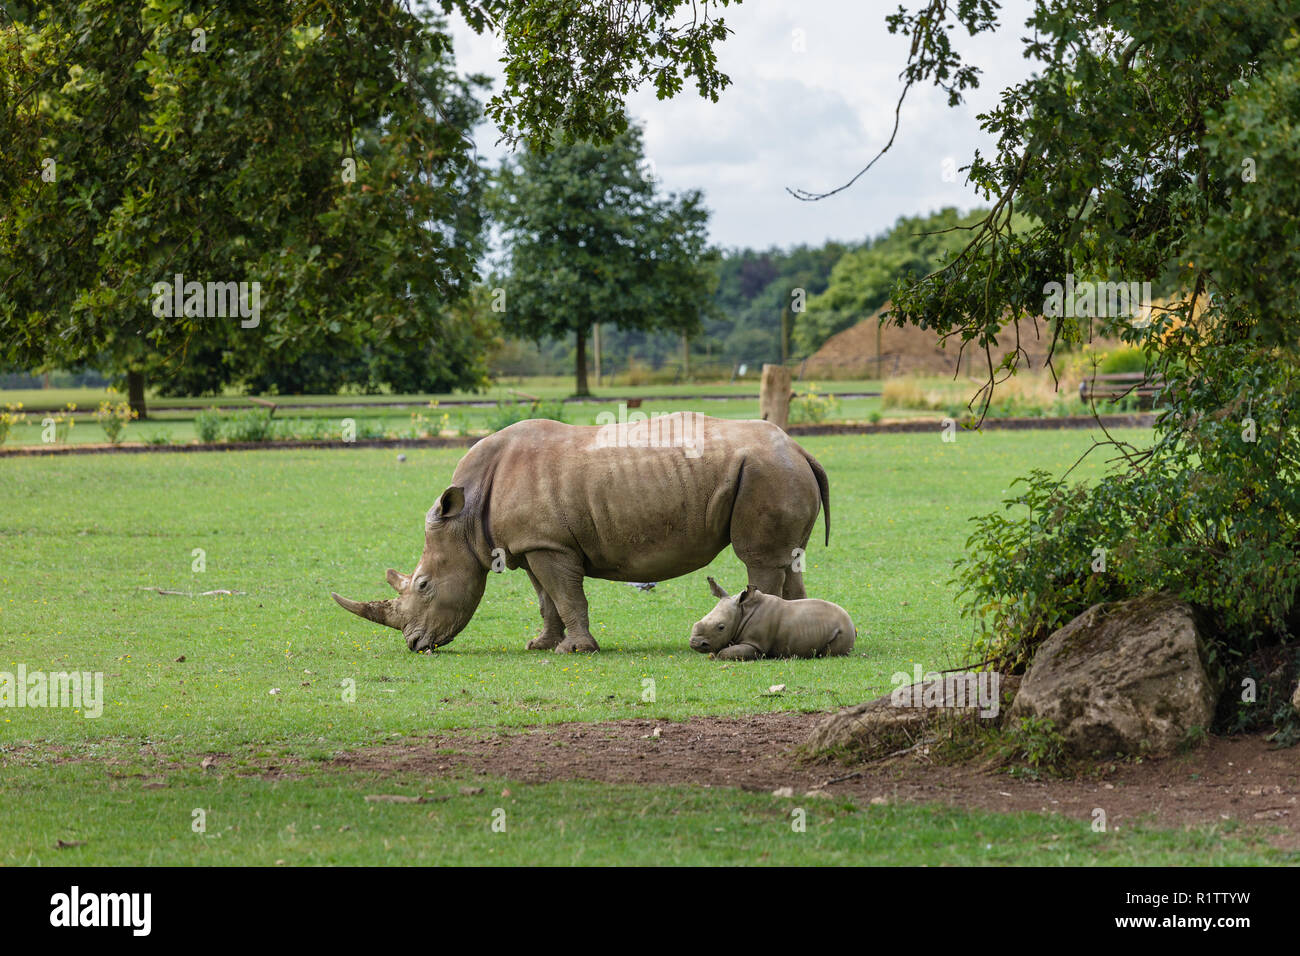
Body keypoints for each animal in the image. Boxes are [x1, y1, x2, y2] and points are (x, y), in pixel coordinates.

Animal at [686, 580, 857, 660]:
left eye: (721, 627)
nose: (695, 643)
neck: (742, 612)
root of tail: (851, 622)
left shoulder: (756, 645)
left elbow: (725, 653)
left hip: (843, 630)